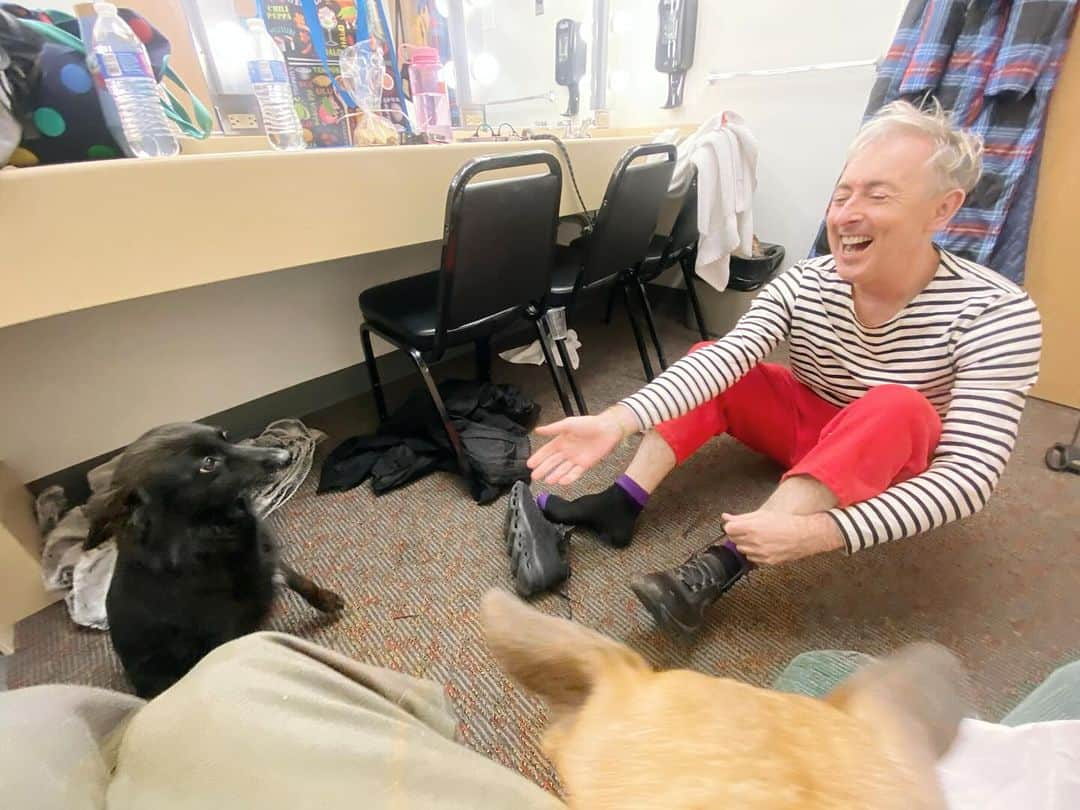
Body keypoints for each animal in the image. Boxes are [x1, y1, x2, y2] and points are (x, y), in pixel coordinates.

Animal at [85, 425, 343, 699]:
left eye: (226, 438)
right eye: (208, 463)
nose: (285, 457)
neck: (214, 530)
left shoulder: (267, 559)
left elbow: (300, 581)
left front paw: (326, 600)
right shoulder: (224, 632)